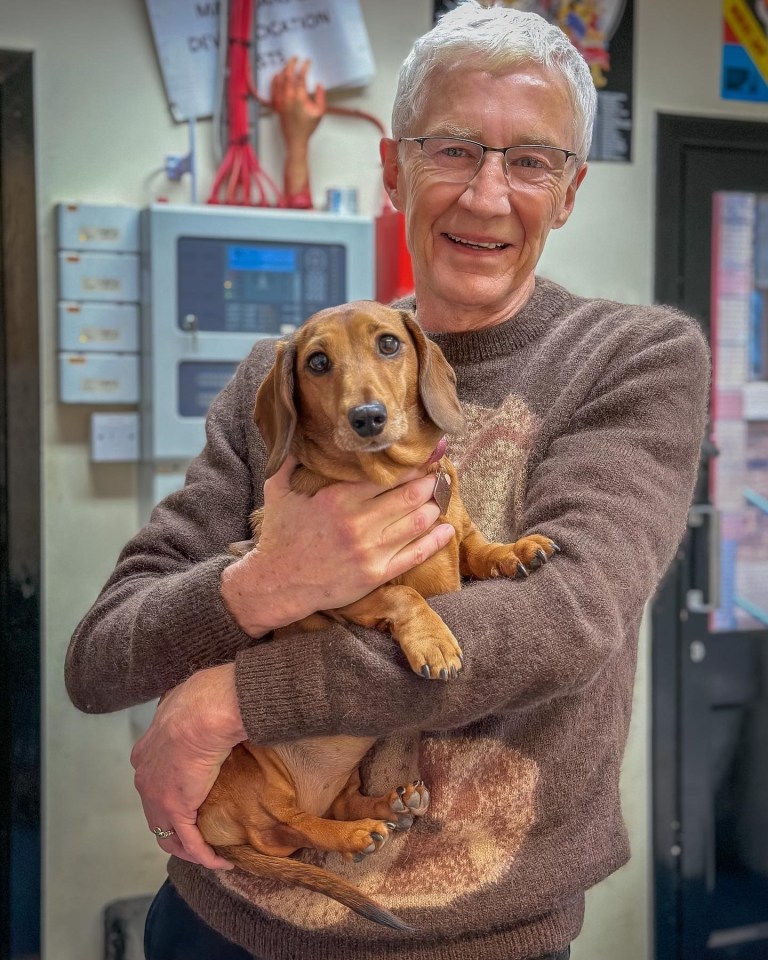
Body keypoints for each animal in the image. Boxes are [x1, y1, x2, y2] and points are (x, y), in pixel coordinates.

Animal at [198, 302, 560, 928]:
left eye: (389, 344)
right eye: (317, 362)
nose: (367, 417)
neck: (389, 478)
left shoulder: (456, 532)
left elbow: (477, 547)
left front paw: (515, 551)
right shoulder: (333, 588)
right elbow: (402, 596)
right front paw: (433, 641)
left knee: (327, 807)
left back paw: (391, 802)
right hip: (249, 767)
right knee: (288, 826)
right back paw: (354, 834)